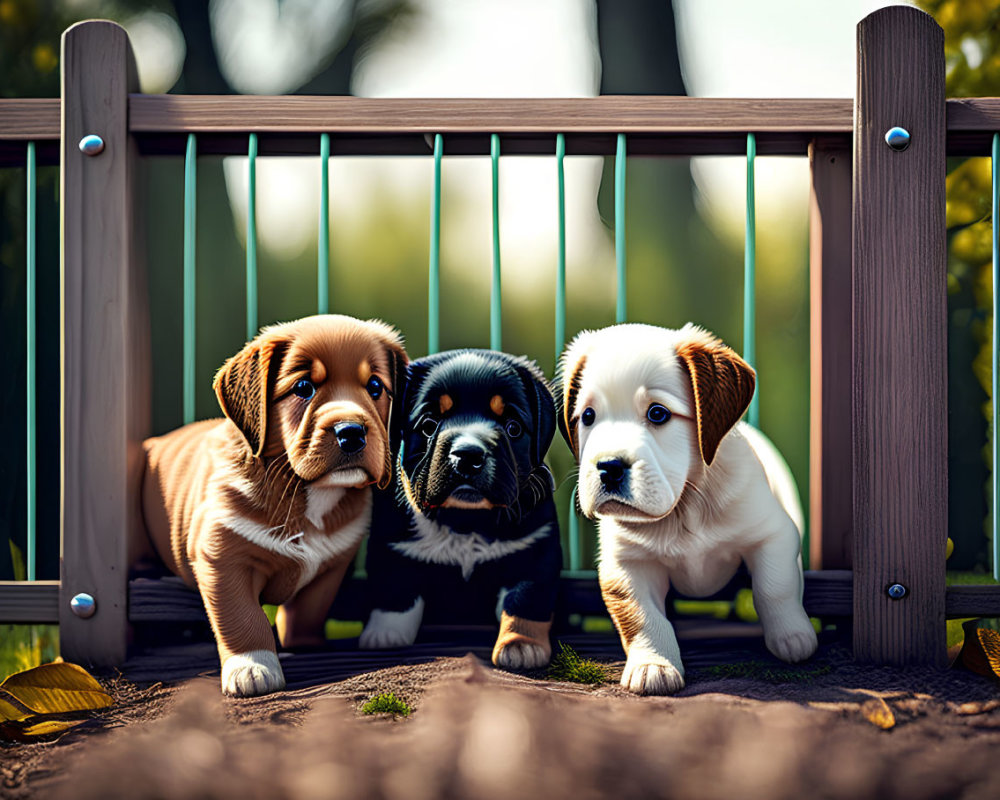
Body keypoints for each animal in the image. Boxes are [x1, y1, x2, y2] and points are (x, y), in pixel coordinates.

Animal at [141, 316, 406, 696]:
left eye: (374, 387)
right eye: (304, 387)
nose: (352, 432)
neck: (306, 492)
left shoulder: (331, 566)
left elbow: (308, 609)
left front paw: (305, 645)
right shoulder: (223, 559)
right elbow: (242, 617)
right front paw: (252, 668)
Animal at [360, 350, 564, 668]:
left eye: (513, 427)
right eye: (429, 425)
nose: (468, 455)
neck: (466, 521)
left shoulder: (537, 549)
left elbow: (525, 600)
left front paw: (520, 644)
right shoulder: (391, 542)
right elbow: (395, 590)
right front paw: (385, 635)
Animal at [560, 324, 816, 692]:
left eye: (658, 414)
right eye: (588, 417)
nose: (608, 467)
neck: (685, 507)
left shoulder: (773, 533)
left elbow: (774, 587)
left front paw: (792, 636)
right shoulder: (626, 564)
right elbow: (642, 616)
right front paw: (654, 664)